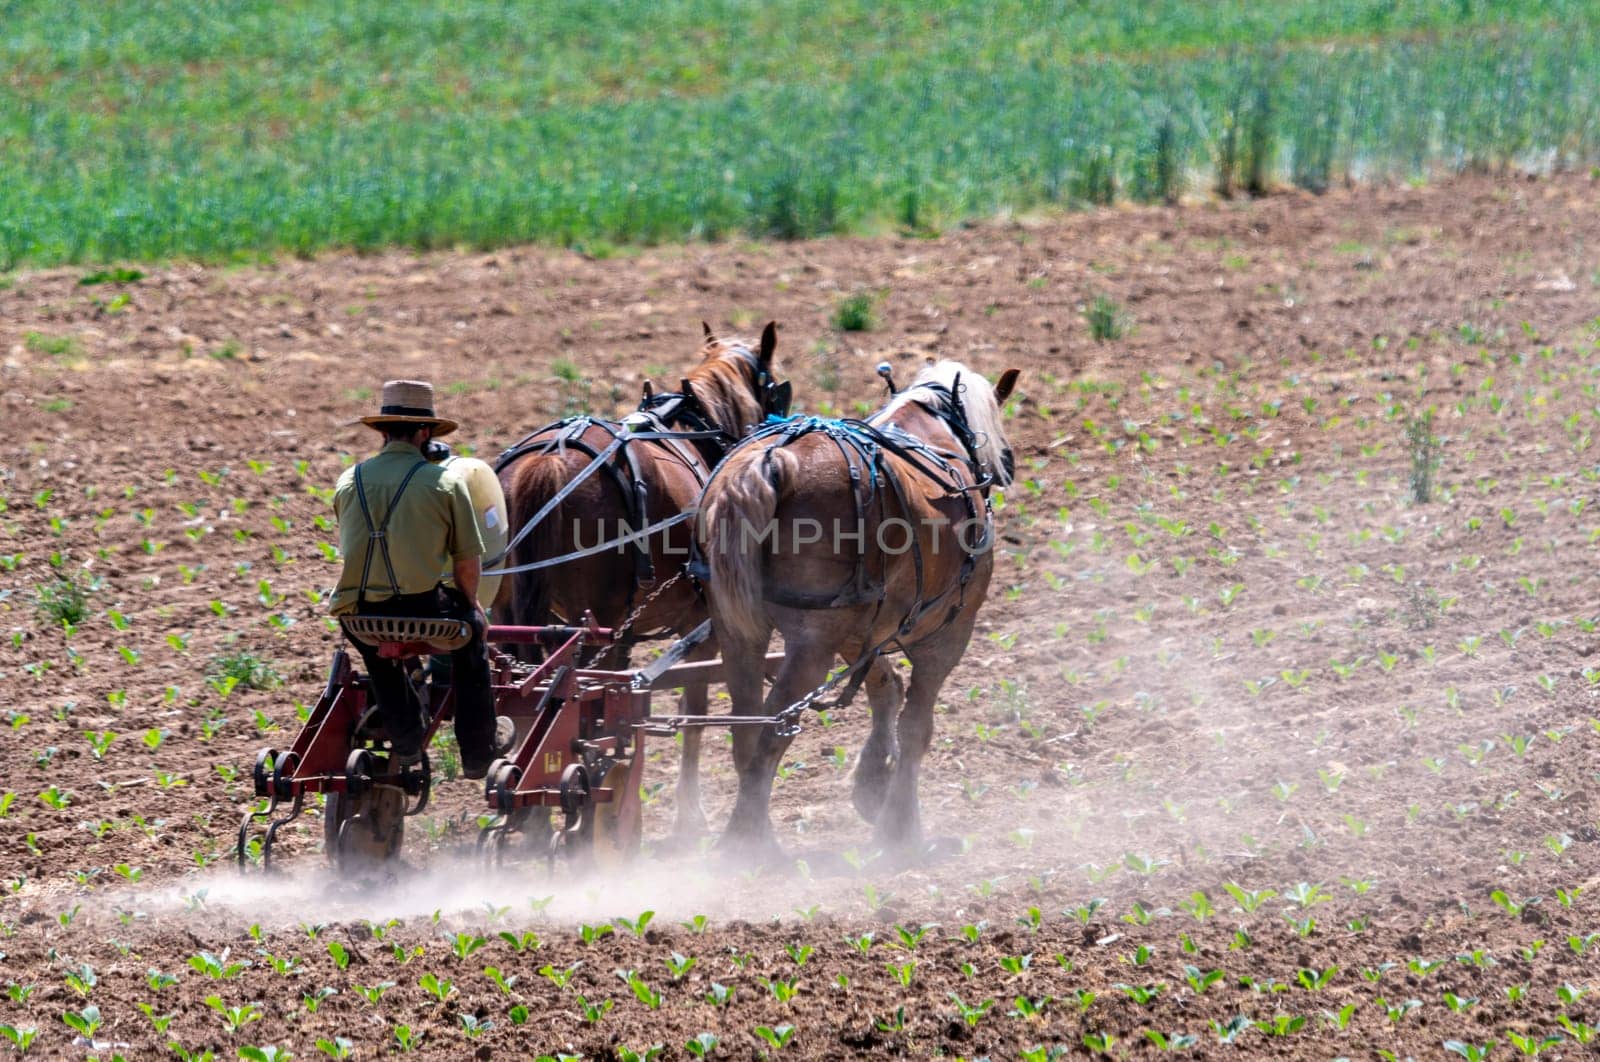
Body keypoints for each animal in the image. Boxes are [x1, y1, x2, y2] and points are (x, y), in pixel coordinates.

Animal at [489, 323, 784, 838]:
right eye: (773, 386)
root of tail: (548, 461)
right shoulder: (701, 626)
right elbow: (694, 710)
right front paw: (689, 815)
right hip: (596, 623)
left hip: (521, 617)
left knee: (531, 704)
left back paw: (534, 812)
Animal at [694, 361, 1017, 857]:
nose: (1009, 462)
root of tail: (773, 461)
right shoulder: (948, 633)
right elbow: (916, 725)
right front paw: (900, 826)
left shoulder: (860, 632)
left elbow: (885, 688)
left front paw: (873, 782)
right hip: (811, 645)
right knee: (773, 730)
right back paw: (747, 843)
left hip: (739, 633)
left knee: (746, 729)